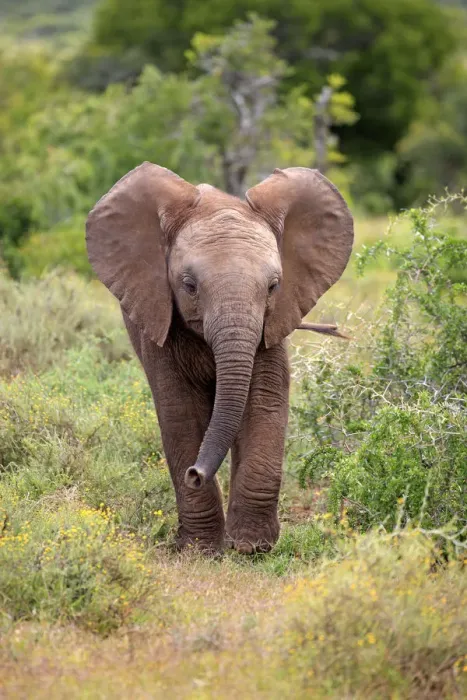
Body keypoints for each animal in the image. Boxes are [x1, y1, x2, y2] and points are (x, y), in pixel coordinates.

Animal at [86, 162, 353, 554]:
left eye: (274, 287)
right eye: (189, 286)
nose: (194, 474)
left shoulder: (273, 324)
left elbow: (264, 400)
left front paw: (252, 548)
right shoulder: (158, 321)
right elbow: (179, 410)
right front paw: (200, 550)